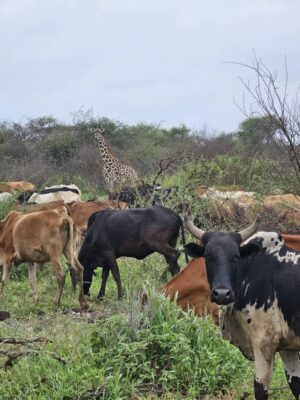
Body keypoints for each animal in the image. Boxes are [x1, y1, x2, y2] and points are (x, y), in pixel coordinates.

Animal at [184, 216, 300, 400]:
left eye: (236, 256)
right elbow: (296, 385)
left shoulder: (263, 342)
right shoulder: (288, 347)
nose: (222, 294)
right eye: (208, 256)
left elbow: (260, 388)